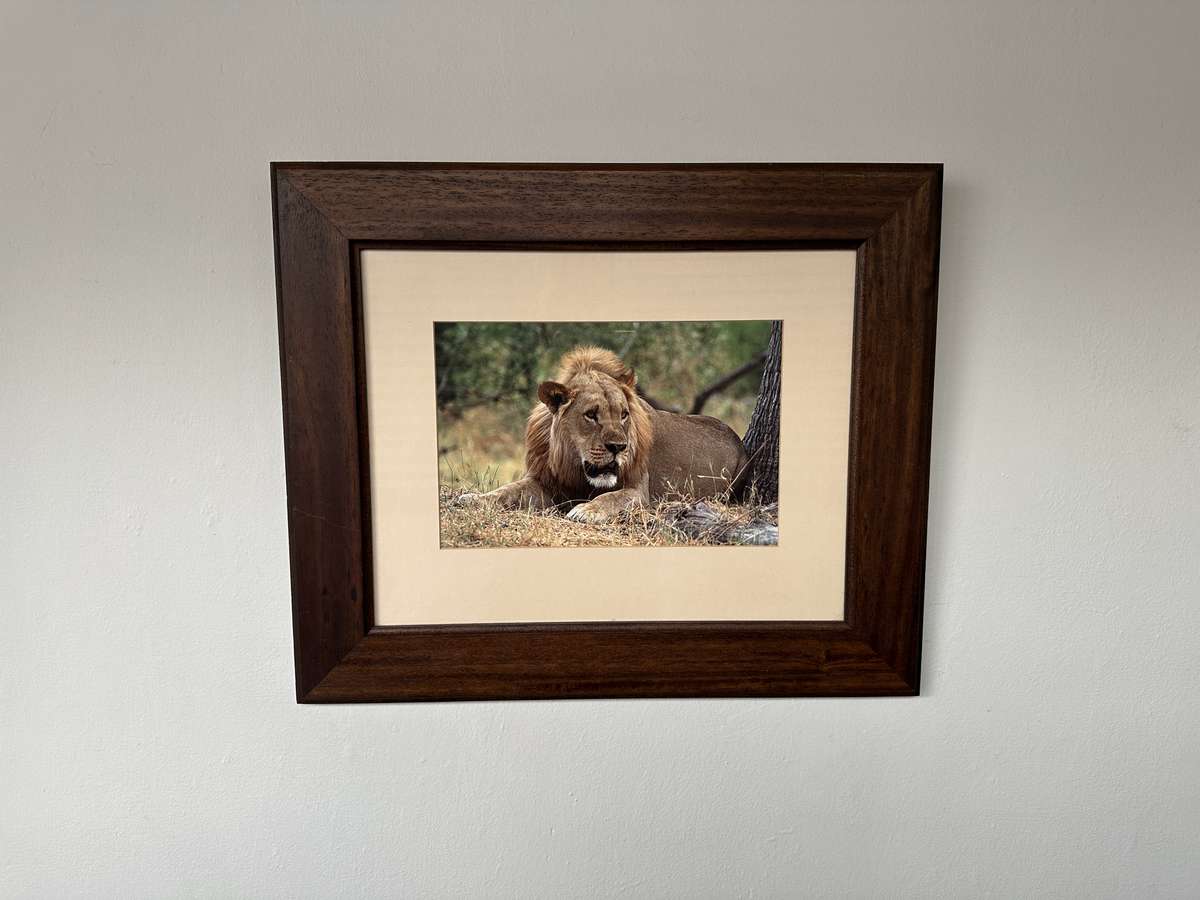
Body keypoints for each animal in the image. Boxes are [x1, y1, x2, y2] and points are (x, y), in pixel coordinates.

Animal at [459, 346, 750, 524]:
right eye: (591, 415)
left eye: (623, 414)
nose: (618, 447)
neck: (575, 466)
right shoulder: (544, 481)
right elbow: (506, 490)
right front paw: (473, 498)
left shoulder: (638, 492)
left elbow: (610, 497)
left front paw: (586, 510)